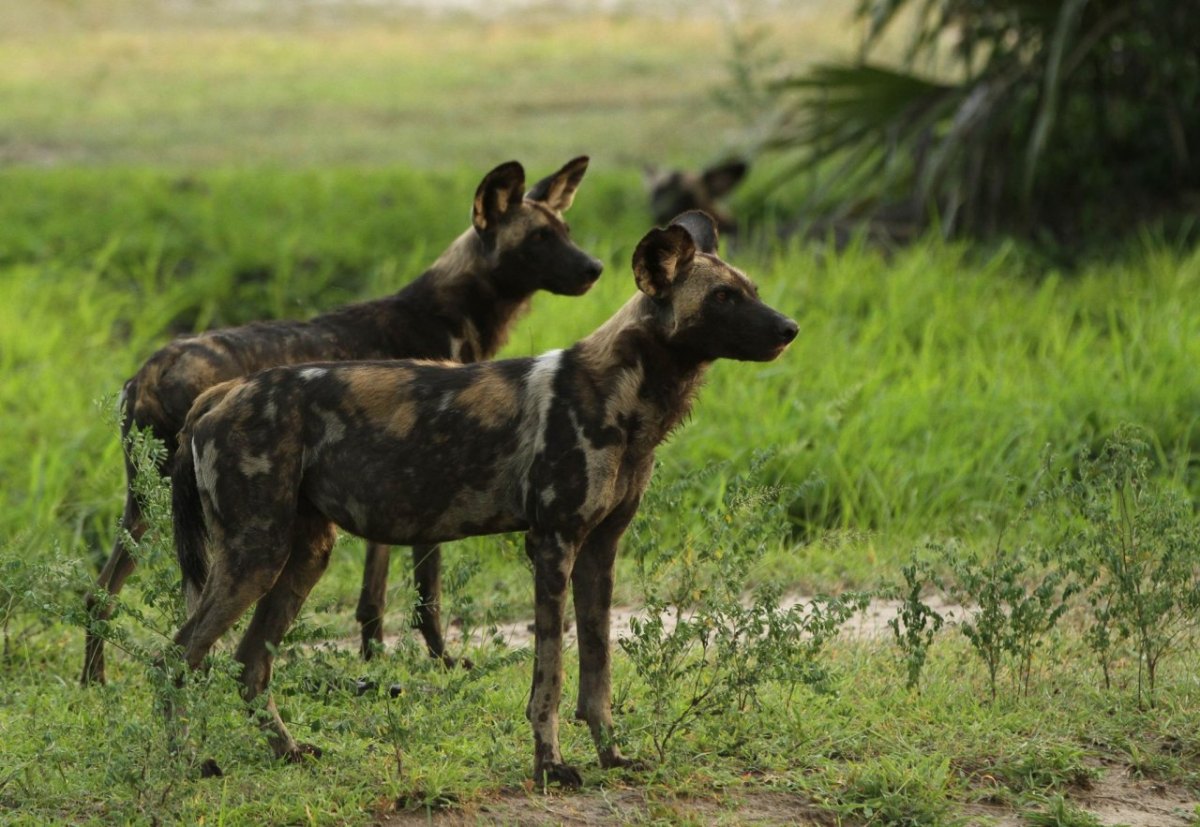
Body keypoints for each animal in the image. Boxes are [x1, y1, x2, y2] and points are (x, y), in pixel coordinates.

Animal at [81, 154, 604, 681]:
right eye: (538, 238)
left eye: (566, 230)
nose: (595, 268)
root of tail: (152, 370)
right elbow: (428, 594)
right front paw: (441, 660)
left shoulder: (392, 491)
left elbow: (373, 596)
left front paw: (373, 657)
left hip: (146, 507)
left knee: (99, 594)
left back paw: (94, 685)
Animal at [162, 210, 796, 782]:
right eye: (722, 298)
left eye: (752, 291)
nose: (789, 328)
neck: (629, 395)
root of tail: (222, 392)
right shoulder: (552, 545)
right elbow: (551, 678)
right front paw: (551, 766)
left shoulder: (599, 552)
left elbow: (598, 677)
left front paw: (612, 757)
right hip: (255, 556)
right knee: (177, 656)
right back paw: (189, 764)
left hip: (302, 555)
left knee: (247, 666)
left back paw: (288, 752)